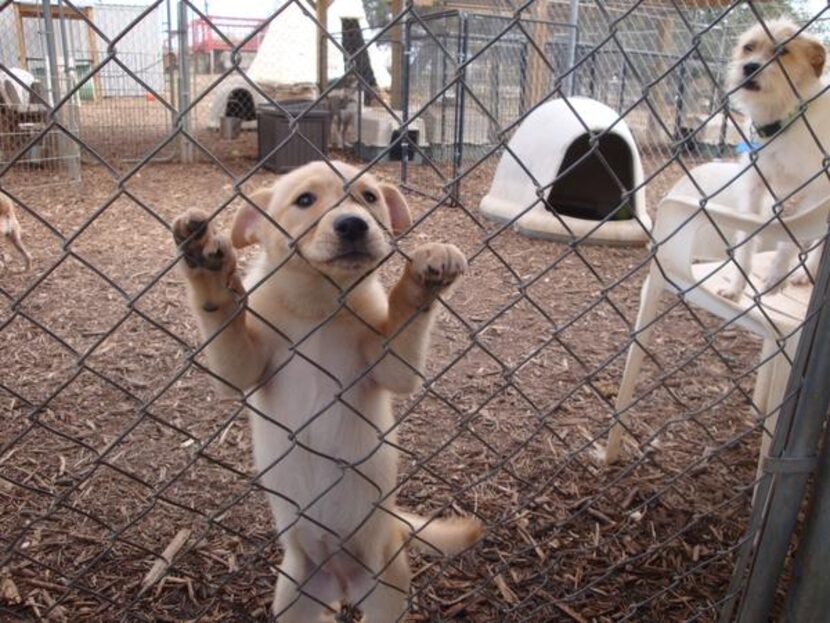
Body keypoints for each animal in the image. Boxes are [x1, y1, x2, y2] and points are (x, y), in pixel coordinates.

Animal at [172, 162, 484, 623]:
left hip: (387, 590)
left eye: (369, 197)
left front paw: (424, 276)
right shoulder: (241, 369)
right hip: (294, 597)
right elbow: (226, 317)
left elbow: (405, 313)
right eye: (305, 200)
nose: (353, 224)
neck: (319, 304)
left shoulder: (390, 363)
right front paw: (209, 272)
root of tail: (340, 582)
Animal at [720, 20, 828, 298]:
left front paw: (777, 276)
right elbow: (746, 241)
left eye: (783, 52)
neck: (782, 122)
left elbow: (791, 239)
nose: (749, 67)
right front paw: (736, 286)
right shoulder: (755, 186)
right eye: (748, 47)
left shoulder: (817, 193)